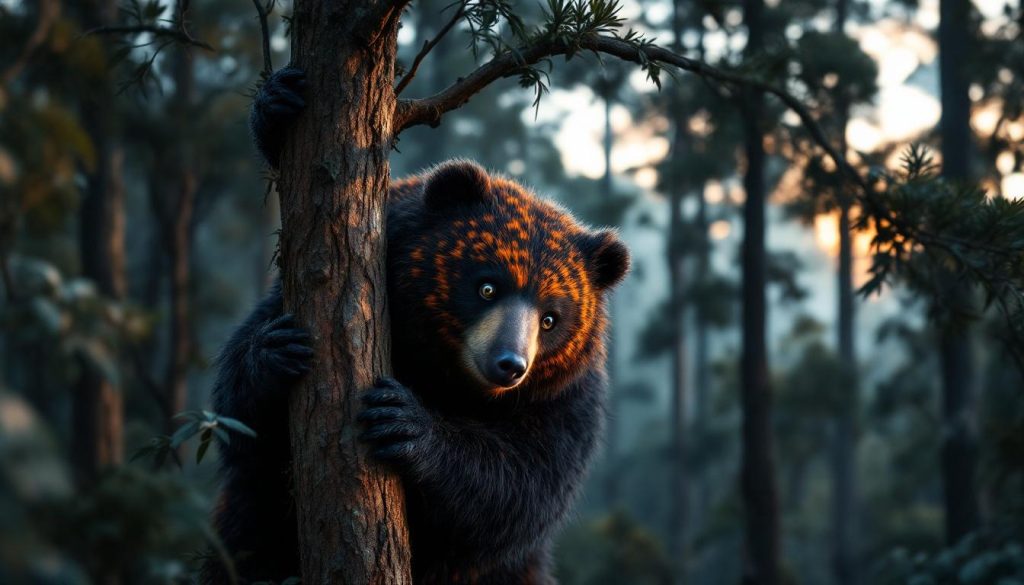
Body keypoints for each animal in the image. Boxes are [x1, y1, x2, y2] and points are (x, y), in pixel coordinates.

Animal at [202, 67, 630, 585]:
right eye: (487, 287)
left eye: (551, 318)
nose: (508, 364)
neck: (444, 374)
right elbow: (242, 420)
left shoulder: (566, 403)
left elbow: (520, 487)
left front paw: (402, 420)